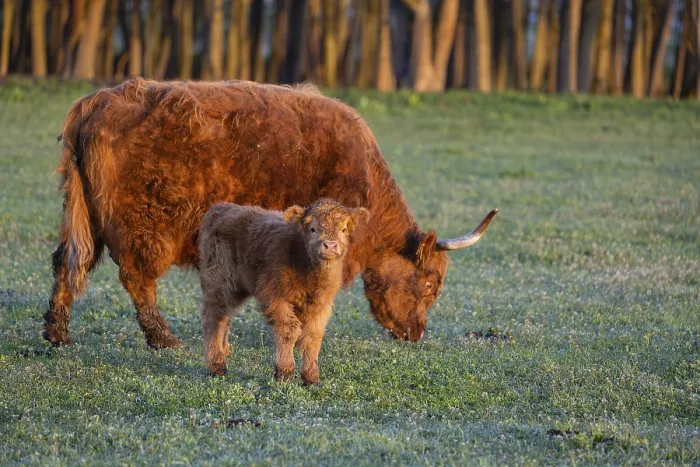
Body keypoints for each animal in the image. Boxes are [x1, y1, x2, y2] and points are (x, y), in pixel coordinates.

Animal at [44, 78, 497, 349]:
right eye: (429, 285)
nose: (416, 334)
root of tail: (97, 100)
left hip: (83, 219)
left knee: (66, 264)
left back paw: (56, 333)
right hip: (145, 225)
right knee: (136, 278)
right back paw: (164, 339)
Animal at [199, 199, 368, 384]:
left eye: (343, 229)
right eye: (312, 228)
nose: (330, 245)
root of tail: (222, 207)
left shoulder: (321, 306)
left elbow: (313, 337)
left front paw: (311, 376)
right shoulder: (276, 297)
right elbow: (289, 330)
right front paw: (284, 373)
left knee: (225, 318)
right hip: (220, 282)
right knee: (214, 317)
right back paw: (217, 365)